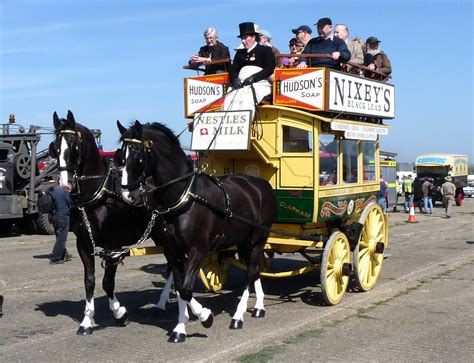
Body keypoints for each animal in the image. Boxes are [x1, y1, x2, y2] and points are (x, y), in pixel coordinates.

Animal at [50, 111, 172, 336]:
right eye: (55, 146)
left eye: (74, 147)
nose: (64, 183)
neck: (97, 194)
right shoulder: (84, 244)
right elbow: (89, 282)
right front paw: (86, 321)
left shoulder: (112, 246)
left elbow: (107, 282)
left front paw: (119, 313)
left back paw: (161, 304)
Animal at [116, 120, 276, 344]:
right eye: (121, 156)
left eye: (138, 156)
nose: (127, 195)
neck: (185, 197)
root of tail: (262, 184)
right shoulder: (172, 252)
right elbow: (180, 288)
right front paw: (180, 328)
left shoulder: (198, 250)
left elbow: (185, 289)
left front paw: (205, 316)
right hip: (244, 242)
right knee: (255, 270)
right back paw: (259, 306)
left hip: (257, 239)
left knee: (251, 272)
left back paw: (238, 316)